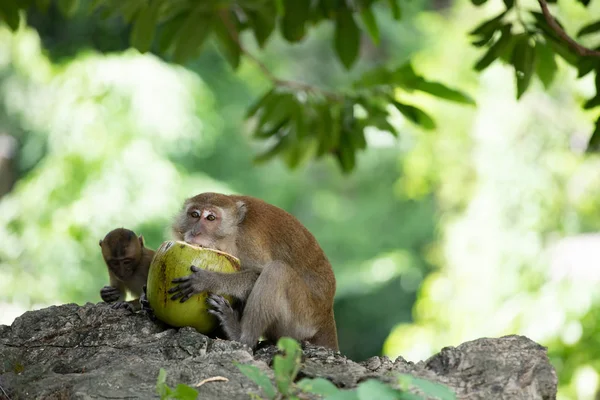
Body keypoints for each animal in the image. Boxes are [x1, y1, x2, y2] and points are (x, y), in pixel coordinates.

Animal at [140, 192, 338, 352]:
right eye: (194, 215)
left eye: (211, 218)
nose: (195, 232)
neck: (233, 232)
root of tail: (326, 315)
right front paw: (144, 297)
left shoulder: (248, 240)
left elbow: (258, 273)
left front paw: (208, 280)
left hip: (303, 319)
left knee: (277, 271)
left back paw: (240, 336)